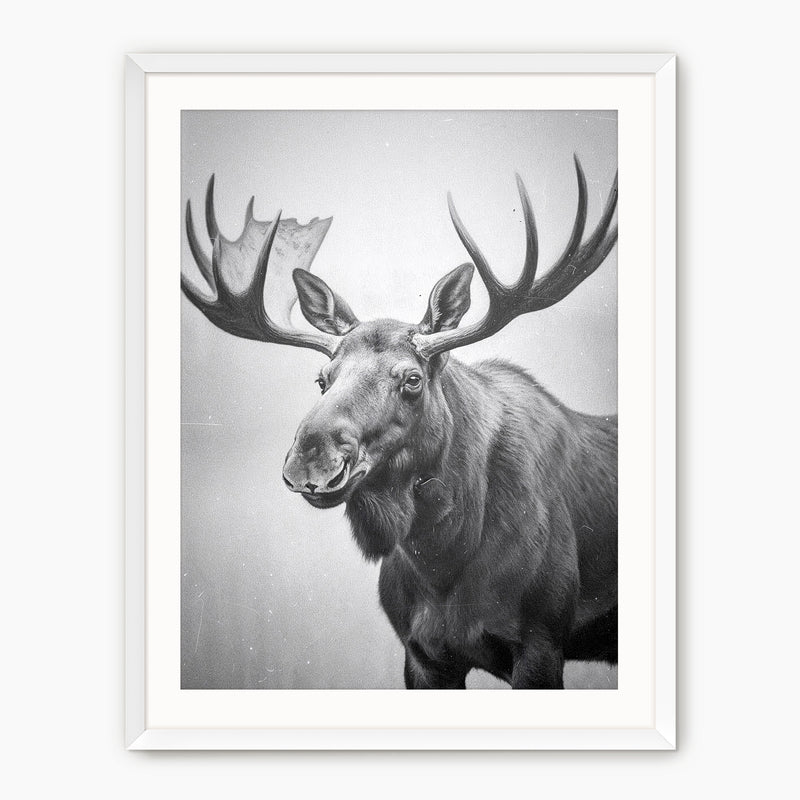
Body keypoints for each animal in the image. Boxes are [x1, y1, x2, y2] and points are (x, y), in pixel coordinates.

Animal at [181, 157, 618, 689]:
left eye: (411, 379)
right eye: (322, 379)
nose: (310, 460)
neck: (443, 558)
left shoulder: (542, 638)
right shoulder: (421, 654)